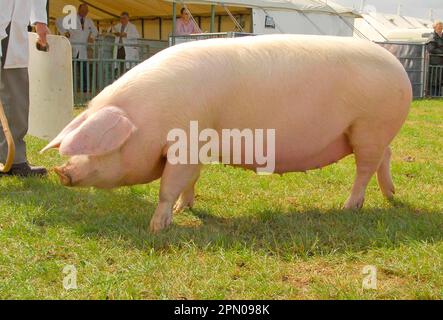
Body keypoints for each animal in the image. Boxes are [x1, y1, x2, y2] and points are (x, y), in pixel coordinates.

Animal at [41, 35, 412, 232]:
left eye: (100, 145)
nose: (61, 171)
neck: (149, 118)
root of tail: (400, 70)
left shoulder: (184, 145)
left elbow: (167, 187)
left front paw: (156, 227)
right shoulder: (196, 146)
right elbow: (189, 181)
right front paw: (184, 210)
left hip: (369, 125)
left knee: (364, 169)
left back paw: (348, 207)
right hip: (372, 132)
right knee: (386, 156)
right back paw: (391, 197)